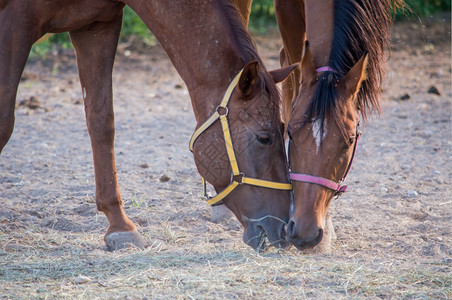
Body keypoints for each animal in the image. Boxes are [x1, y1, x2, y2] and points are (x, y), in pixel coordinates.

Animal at [0, 0, 296, 251]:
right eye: (264, 137)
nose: (283, 228)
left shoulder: (96, 25)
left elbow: (101, 121)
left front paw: (119, 224)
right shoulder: (15, 23)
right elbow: (5, 123)